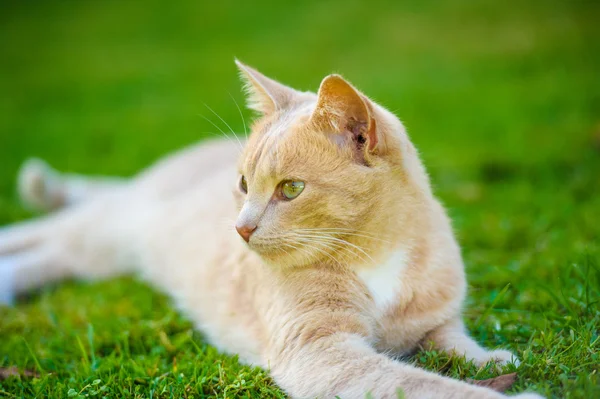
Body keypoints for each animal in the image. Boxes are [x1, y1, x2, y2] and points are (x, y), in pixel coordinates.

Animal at [0, 60, 544, 399]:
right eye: (244, 184)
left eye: (291, 189)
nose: (240, 229)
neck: (378, 255)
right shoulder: (321, 351)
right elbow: (422, 384)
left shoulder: (436, 322)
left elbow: (455, 343)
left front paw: (492, 360)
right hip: (107, 232)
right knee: (41, 236)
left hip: (105, 249)